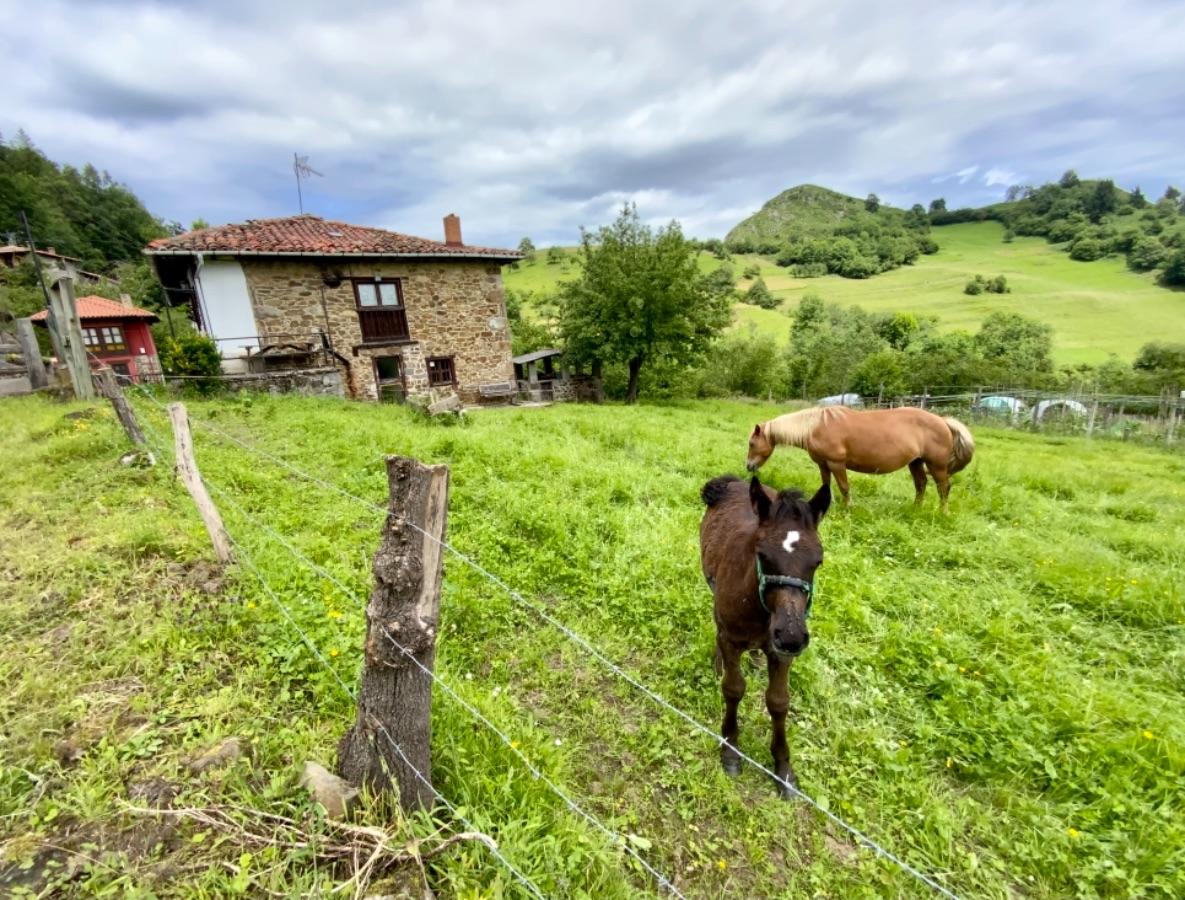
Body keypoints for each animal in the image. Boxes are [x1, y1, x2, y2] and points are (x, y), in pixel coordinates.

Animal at [696, 474, 829, 796]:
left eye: (818, 561)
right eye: (762, 555)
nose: (791, 635)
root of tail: (735, 481)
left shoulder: (782, 653)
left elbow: (778, 701)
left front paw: (783, 768)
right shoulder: (732, 639)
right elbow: (733, 688)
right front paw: (730, 749)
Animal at [744, 405, 976, 509]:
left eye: (752, 443)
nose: (749, 466)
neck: (816, 426)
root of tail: (943, 421)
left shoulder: (837, 463)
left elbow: (844, 487)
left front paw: (848, 508)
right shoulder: (823, 465)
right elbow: (826, 485)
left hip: (936, 465)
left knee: (943, 488)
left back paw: (942, 512)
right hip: (916, 463)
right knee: (921, 484)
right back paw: (915, 509)